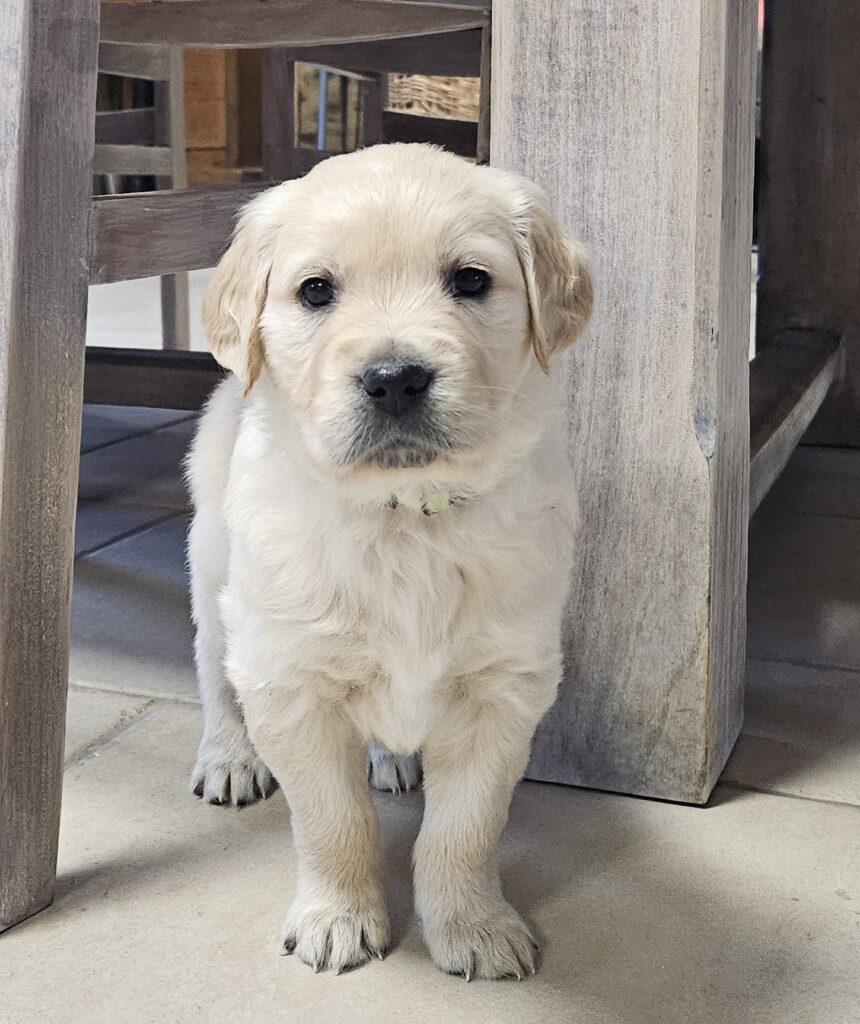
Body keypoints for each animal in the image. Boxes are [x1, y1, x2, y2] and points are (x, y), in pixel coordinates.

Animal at [186, 143, 592, 980]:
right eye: (316, 291)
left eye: (470, 280)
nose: (395, 378)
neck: (405, 519)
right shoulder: (293, 682)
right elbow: (333, 821)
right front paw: (337, 918)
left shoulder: (503, 688)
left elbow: (463, 829)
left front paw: (474, 926)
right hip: (213, 572)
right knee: (214, 669)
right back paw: (230, 757)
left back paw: (392, 758)